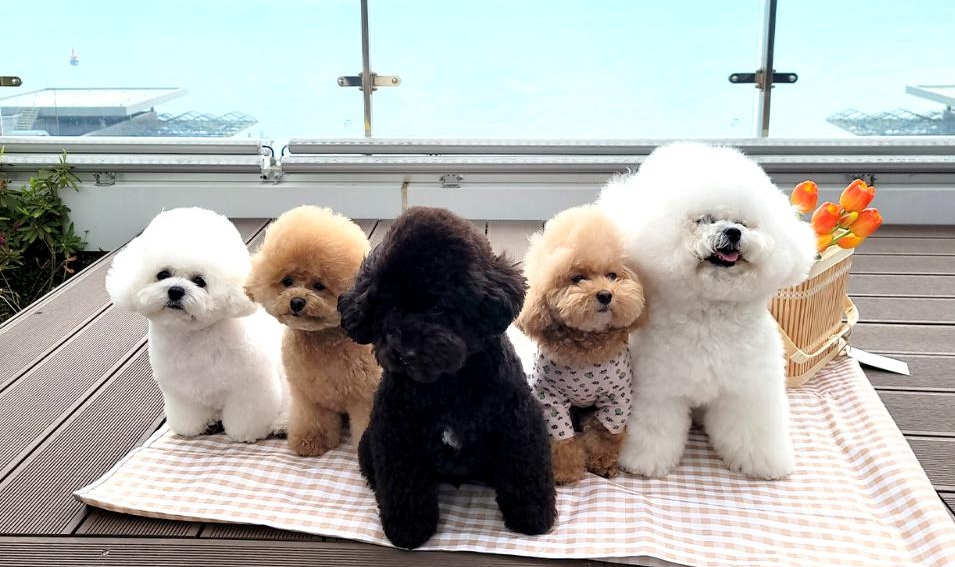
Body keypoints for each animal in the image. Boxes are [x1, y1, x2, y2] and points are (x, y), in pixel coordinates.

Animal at [105, 207, 287, 443]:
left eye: (200, 281)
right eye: (162, 274)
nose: (175, 290)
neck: (192, 338)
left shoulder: (249, 387)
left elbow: (247, 415)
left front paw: (246, 433)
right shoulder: (181, 392)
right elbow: (188, 412)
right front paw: (192, 427)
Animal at [245, 205, 380, 458]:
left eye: (319, 285)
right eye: (287, 281)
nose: (297, 302)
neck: (322, 341)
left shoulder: (366, 397)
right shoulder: (309, 397)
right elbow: (312, 420)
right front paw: (310, 442)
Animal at [339, 207, 556, 550]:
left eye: (440, 307)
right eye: (391, 307)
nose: (405, 352)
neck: (446, 383)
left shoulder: (517, 419)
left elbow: (525, 468)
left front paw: (532, 515)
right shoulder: (395, 432)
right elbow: (404, 483)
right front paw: (408, 527)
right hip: (367, 444)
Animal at [516, 205, 645, 485]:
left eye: (612, 275)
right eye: (577, 278)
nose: (606, 295)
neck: (588, 348)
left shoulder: (616, 397)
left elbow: (606, 433)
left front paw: (602, 464)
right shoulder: (550, 398)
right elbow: (561, 438)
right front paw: (565, 472)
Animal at [597, 143, 817, 480]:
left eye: (743, 222)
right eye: (704, 220)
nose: (733, 232)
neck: (711, 314)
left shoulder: (748, 391)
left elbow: (753, 430)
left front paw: (762, 464)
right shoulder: (658, 390)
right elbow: (654, 430)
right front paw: (644, 461)